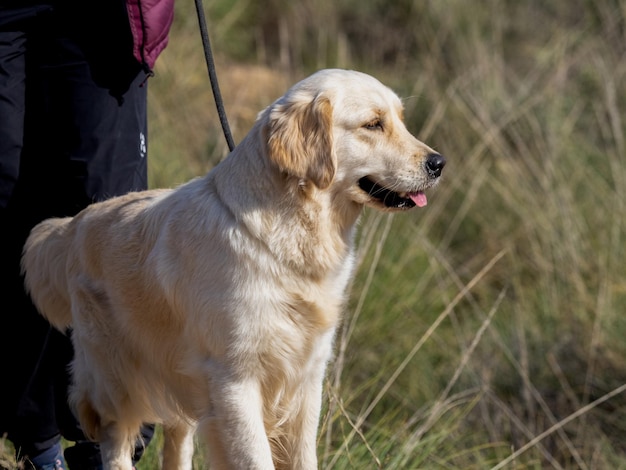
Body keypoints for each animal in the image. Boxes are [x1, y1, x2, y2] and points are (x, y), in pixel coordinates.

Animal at [22, 68, 444, 468]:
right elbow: (255, 459)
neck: (284, 237)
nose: (439, 163)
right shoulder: (235, 380)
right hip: (117, 379)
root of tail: (75, 223)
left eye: (400, 120)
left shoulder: (307, 378)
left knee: (177, 438)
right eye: (373, 124)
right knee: (113, 441)